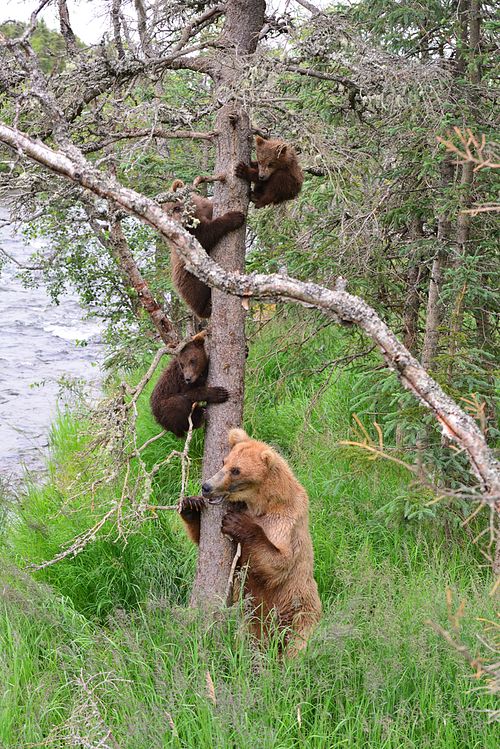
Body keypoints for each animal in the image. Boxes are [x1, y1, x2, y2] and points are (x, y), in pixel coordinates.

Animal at [164, 180, 245, 318]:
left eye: (176, 208)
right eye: (167, 214)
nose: (177, 223)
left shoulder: (207, 208)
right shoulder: (191, 236)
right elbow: (207, 234)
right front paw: (235, 217)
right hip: (188, 276)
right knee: (196, 292)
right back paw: (207, 307)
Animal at [180, 428, 321, 656]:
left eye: (236, 470)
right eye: (224, 461)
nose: (207, 486)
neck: (260, 503)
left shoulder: (285, 522)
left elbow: (278, 563)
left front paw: (236, 522)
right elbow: (199, 537)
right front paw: (191, 504)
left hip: (300, 611)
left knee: (298, 645)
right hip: (252, 620)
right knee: (248, 640)